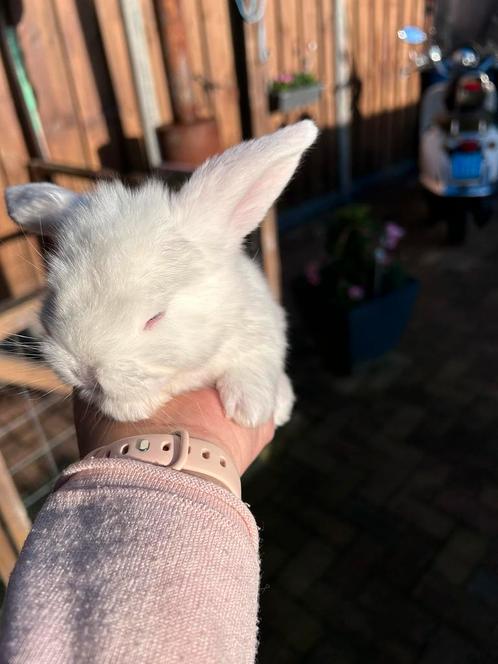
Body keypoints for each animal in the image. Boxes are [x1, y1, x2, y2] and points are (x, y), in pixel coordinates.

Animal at [5, 120, 320, 426]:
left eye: (155, 318)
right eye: (54, 294)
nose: (83, 371)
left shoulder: (262, 326)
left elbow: (256, 362)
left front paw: (251, 407)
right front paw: (129, 409)